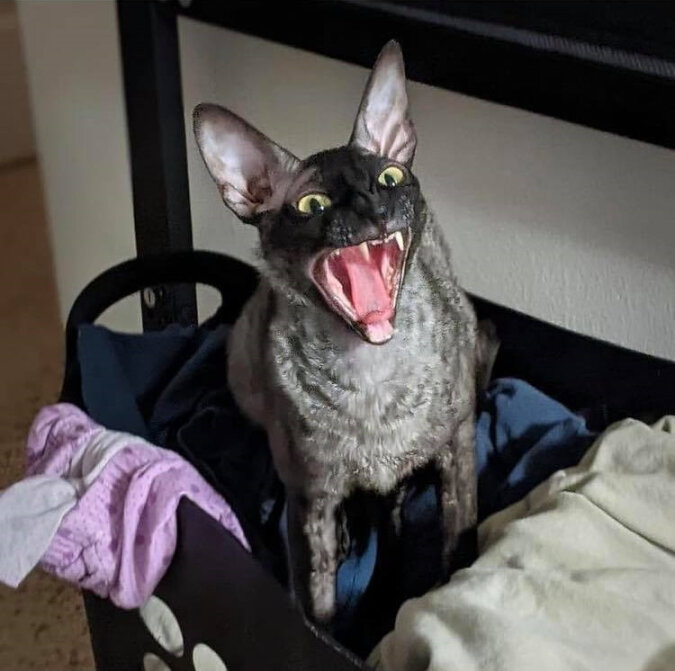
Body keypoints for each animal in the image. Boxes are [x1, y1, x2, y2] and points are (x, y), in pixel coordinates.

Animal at [193, 40, 491, 624]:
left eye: (390, 178)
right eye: (312, 205)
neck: (369, 370)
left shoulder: (458, 448)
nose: (375, 207)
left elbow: (455, 552)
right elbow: (317, 605)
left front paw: (430, 595)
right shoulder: (308, 498)